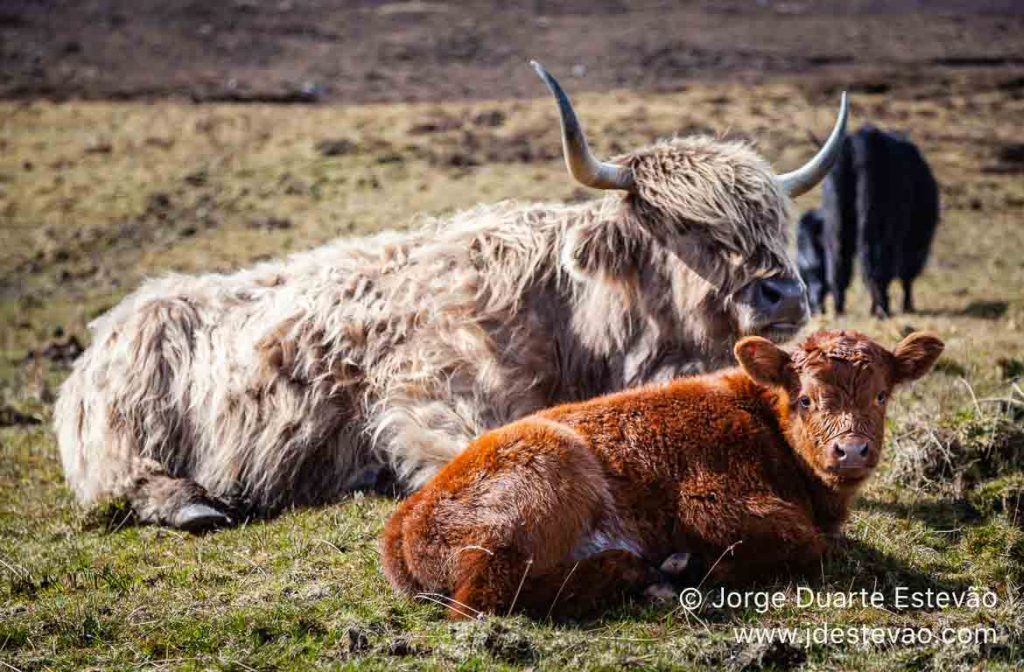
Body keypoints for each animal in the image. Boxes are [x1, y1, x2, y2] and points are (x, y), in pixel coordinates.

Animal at [54, 63, 847, 528]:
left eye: (775, 221)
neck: (573, 326)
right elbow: (477, 452)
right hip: (125, 425)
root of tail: (115, 322)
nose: (782, 292)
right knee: (121, 481)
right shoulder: (427, 388)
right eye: (688, 226)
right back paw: (192, 505)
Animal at [382, 327, 942, 618]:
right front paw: (702, 567)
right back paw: (644, 573)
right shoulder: (714, 503)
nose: (852, 451)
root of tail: (402, 523)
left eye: (881, 395)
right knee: (484, 599)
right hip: (546, 477)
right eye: (805, 398)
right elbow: (812, 544)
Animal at [794, 124, 937, 319]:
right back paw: (882, 309)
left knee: (839, 264)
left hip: (838, 223)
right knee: (877, 267)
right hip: (879, 227)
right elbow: (906, 273)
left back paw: (840, 310)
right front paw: (906, 306)